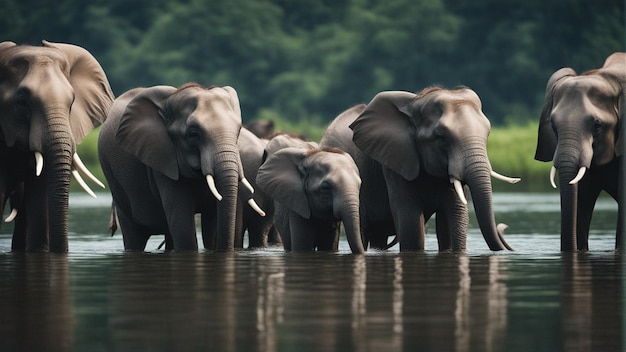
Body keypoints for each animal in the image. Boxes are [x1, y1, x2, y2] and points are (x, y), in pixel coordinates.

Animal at [97, 84, 264, 252]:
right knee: (133, 235)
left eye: (238, 131)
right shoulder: (162, 159)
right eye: (193, 134)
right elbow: (184, 232)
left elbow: (211, 227)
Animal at [320, 86, 520, 252]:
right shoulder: (395, 163)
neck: (418, 101)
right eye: (441, 138)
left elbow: (453, 215)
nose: (504, 228)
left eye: (488, 133)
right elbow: (411, 223)